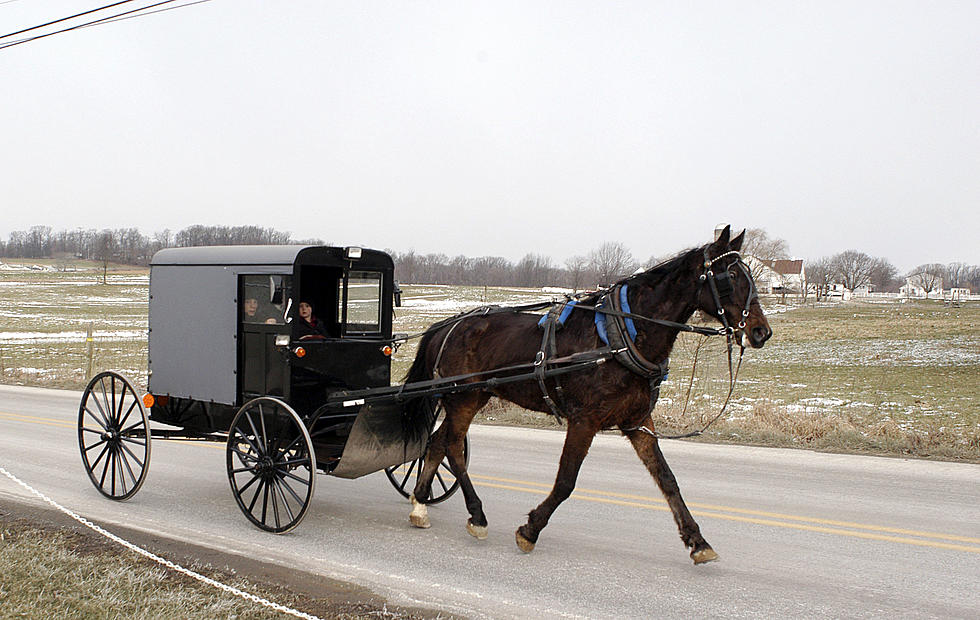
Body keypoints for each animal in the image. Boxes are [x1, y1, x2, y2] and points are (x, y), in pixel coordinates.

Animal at [402, 225, 768, 564]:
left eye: (750, 275)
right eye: (731, 276)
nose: (760, 332)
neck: (623, 336)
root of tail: (447, 325)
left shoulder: (637, 422)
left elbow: (667, 479)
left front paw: (697, 541)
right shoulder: (584, 420)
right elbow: (566, 480)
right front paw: (530, 530)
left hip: (472, 396)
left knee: (437, 442)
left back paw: (420, 502)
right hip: (463, 398)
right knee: (453, 447)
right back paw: (477, 515)